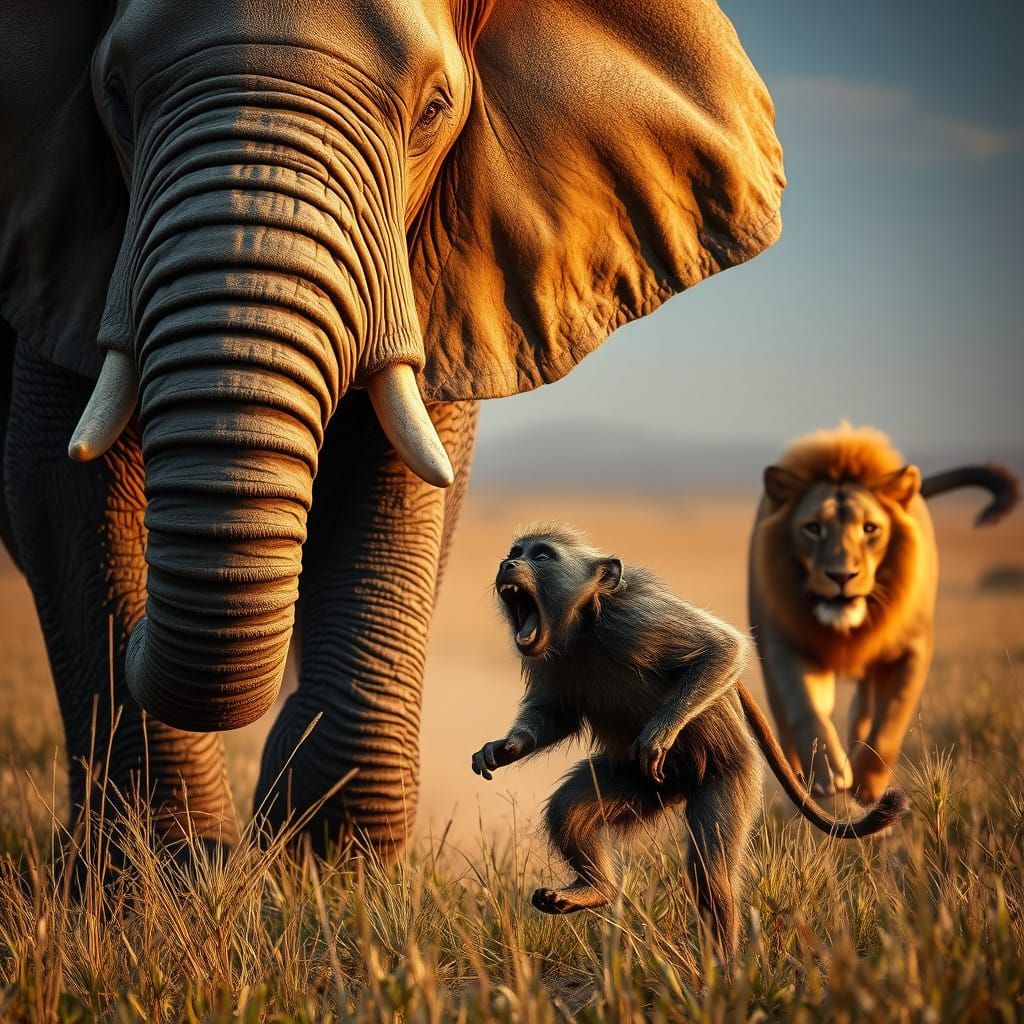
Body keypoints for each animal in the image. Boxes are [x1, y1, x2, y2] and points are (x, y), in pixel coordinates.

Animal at [471, 524, 909, 959]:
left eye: (542, 556)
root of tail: (679, 787)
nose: (507, 564)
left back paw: (725, 968)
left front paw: (660, 732)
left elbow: (723, 648)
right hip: (638, 783)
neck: (583, 627)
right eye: (516, 552)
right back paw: (596, 890)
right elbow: (554, 715)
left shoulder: (636, 619)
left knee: (711, 872)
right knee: (569, 809)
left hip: (727, 774)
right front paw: (505, 748)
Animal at [748, 423, 1019, 802]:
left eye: (870, 528)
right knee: (786, 722)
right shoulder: (787, 642)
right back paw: (799, 775)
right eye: (813, 528)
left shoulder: (913, 647)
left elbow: (891, 720)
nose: (841, 576)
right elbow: (807, 710)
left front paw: (867, 783)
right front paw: (827, 772)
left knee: (863, 712)